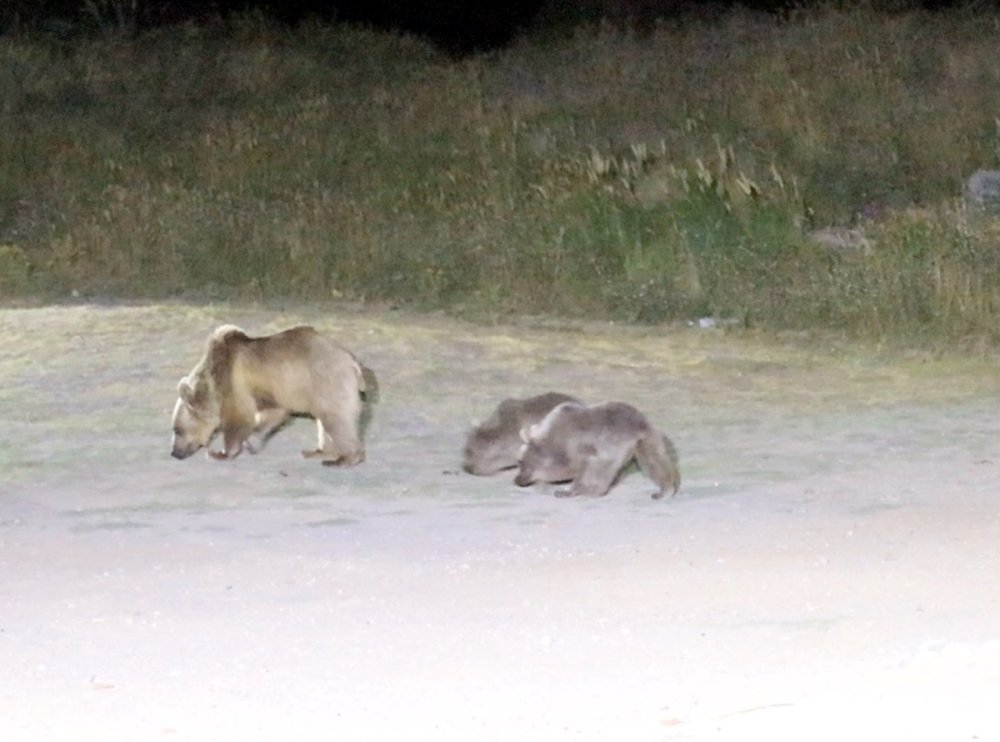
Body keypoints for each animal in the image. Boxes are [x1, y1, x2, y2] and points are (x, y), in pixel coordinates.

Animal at [172, 324, 376, 468]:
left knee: (336, 421)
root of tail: (353, 363)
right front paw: (253, 441)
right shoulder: (272, 391)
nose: (174, 453)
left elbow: (238, 417)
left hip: (327, 383)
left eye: (177, 429)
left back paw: (343, 459)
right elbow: (272, 414)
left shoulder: (234, 383)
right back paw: (319, 451)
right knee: (326, 423)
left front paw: (219, 453)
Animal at [516, 402, 680, 500]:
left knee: (606, 469)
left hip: (618, 442)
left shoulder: (579, 447)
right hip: (645, 441)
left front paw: (569, 490)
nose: (517, 480)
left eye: (521, 462)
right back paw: (667, 487)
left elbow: (579, 470)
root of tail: (640, 422)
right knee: (654, 461)